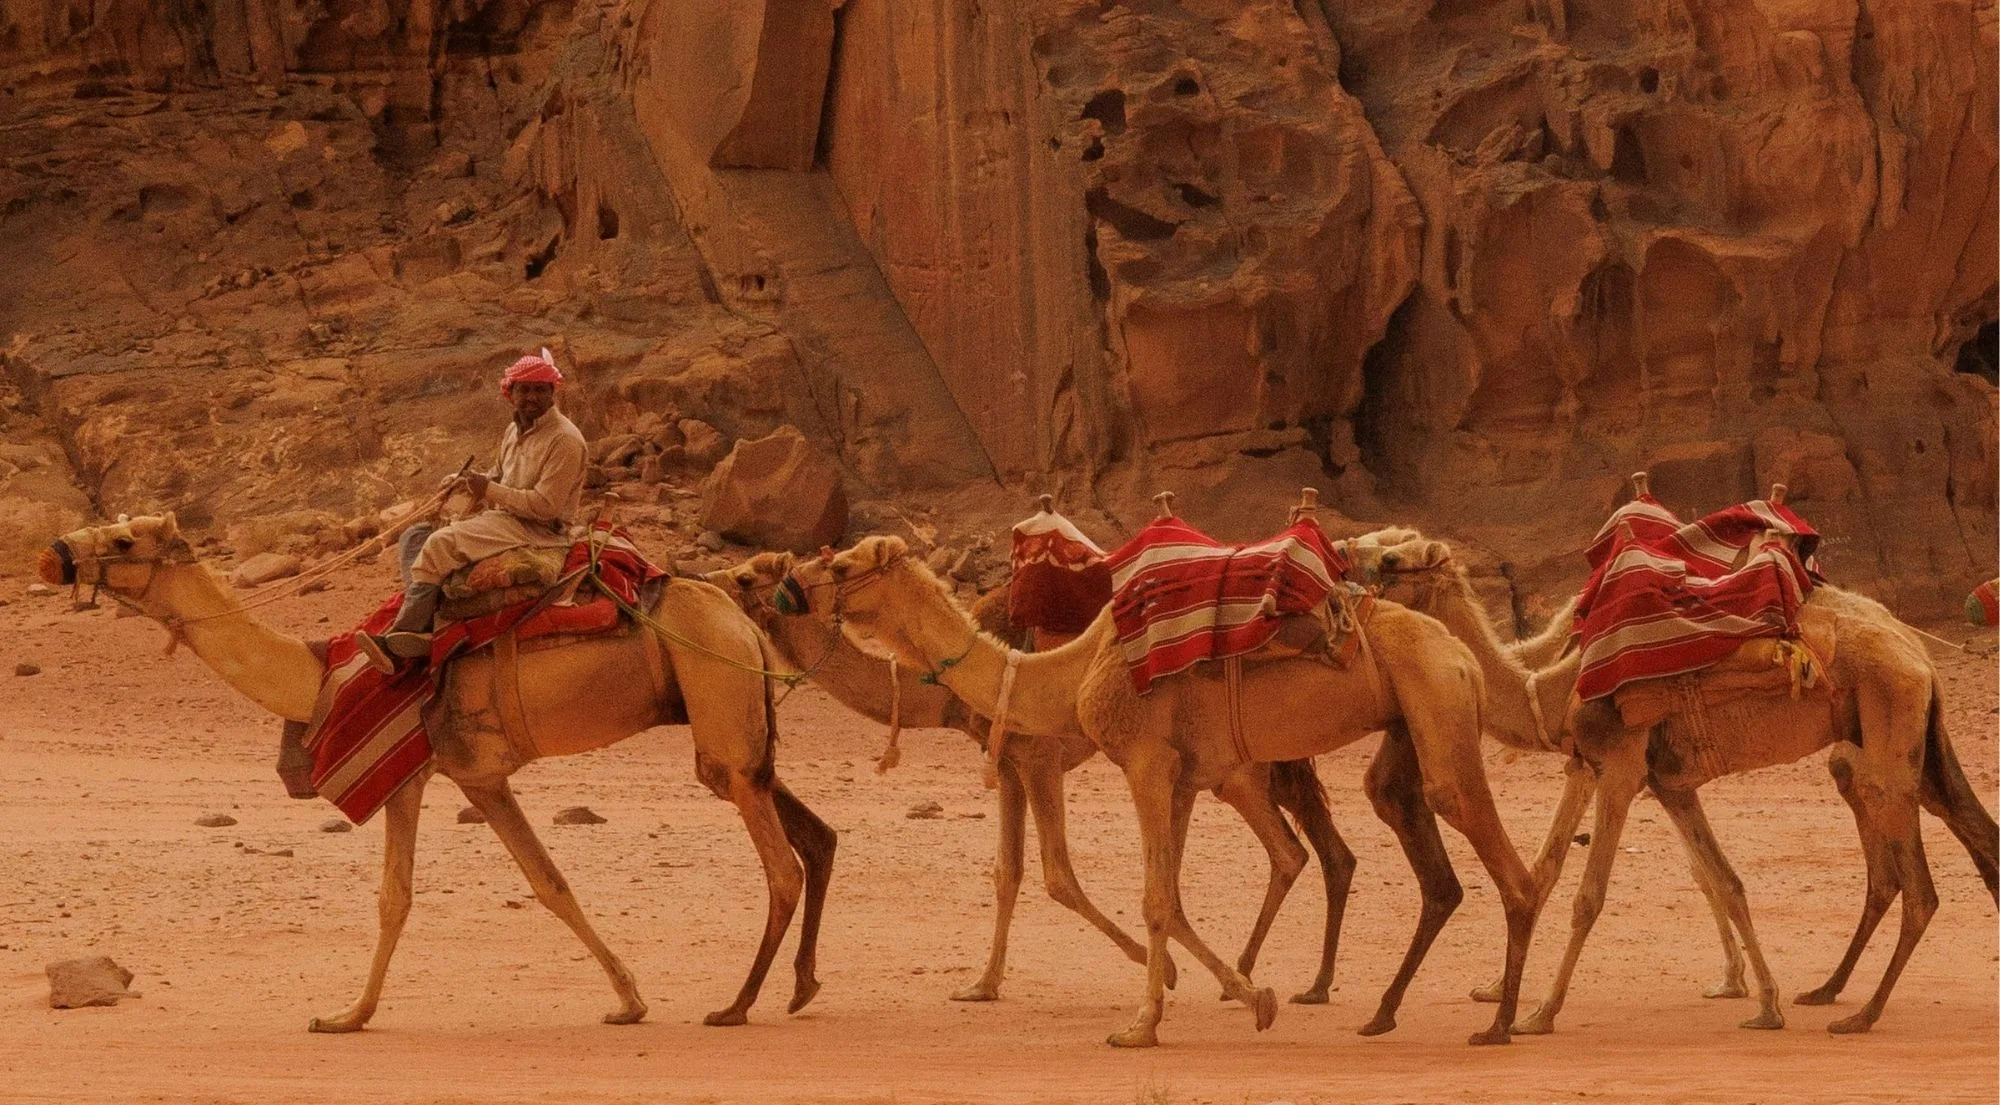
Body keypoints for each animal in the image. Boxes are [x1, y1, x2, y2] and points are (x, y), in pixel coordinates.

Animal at [41, 514, 836, 1032]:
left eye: (123, 540)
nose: (54, 555)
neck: (322, 676)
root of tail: (740, 619)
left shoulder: (475, 770)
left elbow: (549, 883)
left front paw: (629, 999)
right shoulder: (411, 775)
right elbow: (394, 897)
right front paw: (348, 1014)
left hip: (719, 710)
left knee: (780, 865)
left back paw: (736, 1005)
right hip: (737, 724)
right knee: (816, 834)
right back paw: (800, 987)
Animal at [709, 552, 1352, 1005]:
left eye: (747, 576)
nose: (710, 580)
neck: (943, 693)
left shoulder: (1038, 758)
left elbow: (1057, 874)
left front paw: (1163, 968)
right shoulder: (1007, 762)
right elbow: (1006, 872)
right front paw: (982, 984)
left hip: (1239, 767)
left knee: (1289, 850)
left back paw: (1259, 978)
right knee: (1308, 851)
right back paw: (1281, 980)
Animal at [789, 535, 1540, 1047]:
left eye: (842, 566)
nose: (791, 585)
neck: (1067, 670)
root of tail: (1466, 658)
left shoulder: (1143, 761)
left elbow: (1152, 899)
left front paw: (1141, 1024)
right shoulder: (1182, 773)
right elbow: (1171, 897)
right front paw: (1250, 995)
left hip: (1435, 710)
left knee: (1505, 867)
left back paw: (1500, 1022)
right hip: (1406, 726)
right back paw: (1397, 1011)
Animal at [1354, 524, 1999, 1035]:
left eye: (1393, 560)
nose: (1356, 589)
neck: (1552, 687)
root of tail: (1919, 654)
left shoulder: (1618, 767)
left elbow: (1590, 896)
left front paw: (1539, 1013)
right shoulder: (1663, 782)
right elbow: (1723, 881)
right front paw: (1765, 1003)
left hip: (1891, 733)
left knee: (1918, 886)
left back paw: (1861, 1015)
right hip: (1913, 742)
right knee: (1966, 838)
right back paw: (1830, 994)